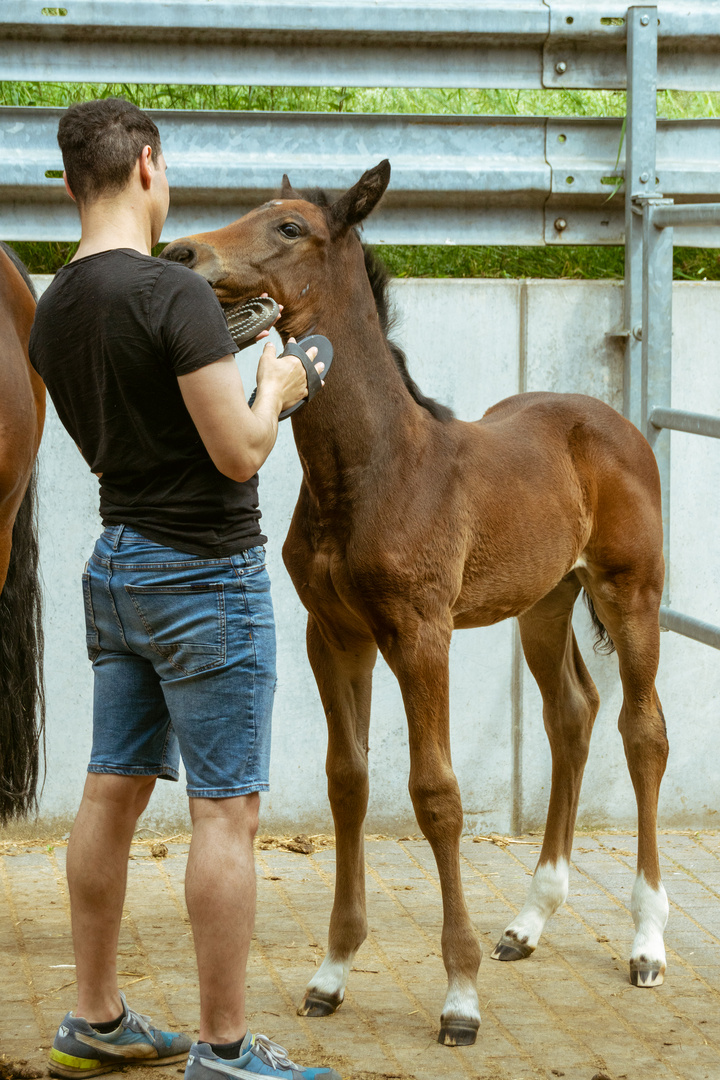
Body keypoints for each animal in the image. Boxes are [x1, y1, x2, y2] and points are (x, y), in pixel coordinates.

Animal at [162, 164, 669, 1049]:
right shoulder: (334, 635)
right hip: (544, 603)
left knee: (642, 732)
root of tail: (611, 421)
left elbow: (437, 796)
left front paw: (459, 997)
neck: (370, 470)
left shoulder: (420, 635)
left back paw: (646, 941)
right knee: (572, 714)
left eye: (290, 227)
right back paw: (530, 922)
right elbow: (348, 781)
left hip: (631, 591)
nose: (182, 252)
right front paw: (331, 974)